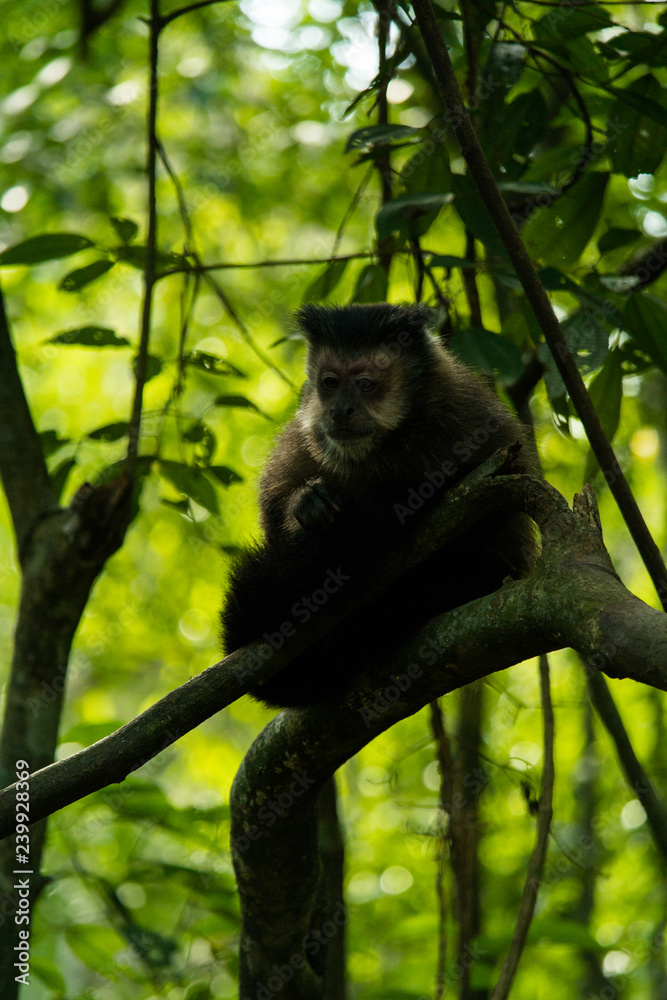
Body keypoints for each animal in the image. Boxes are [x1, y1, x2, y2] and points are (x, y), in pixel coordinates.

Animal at [221, 302, 537, 709]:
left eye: (365, 383)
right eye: (330, 382)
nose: (340, 409)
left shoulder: (475, 423)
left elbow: (492, 519)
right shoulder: (304, 438)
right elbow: (275, 513)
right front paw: (306, 504)